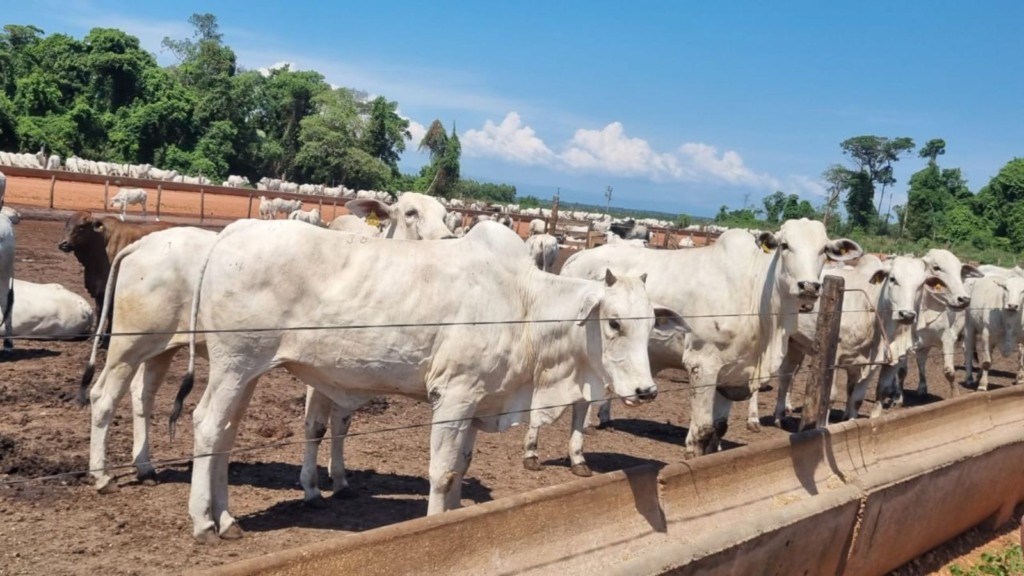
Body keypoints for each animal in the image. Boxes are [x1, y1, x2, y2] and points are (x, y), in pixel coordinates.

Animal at [57, 210, 173, 340]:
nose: (63, 244)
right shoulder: (99, 289)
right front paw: (94, 336)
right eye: (66, 225)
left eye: (81, 227)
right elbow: (100, 310)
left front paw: (107, 337)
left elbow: (110, 312)